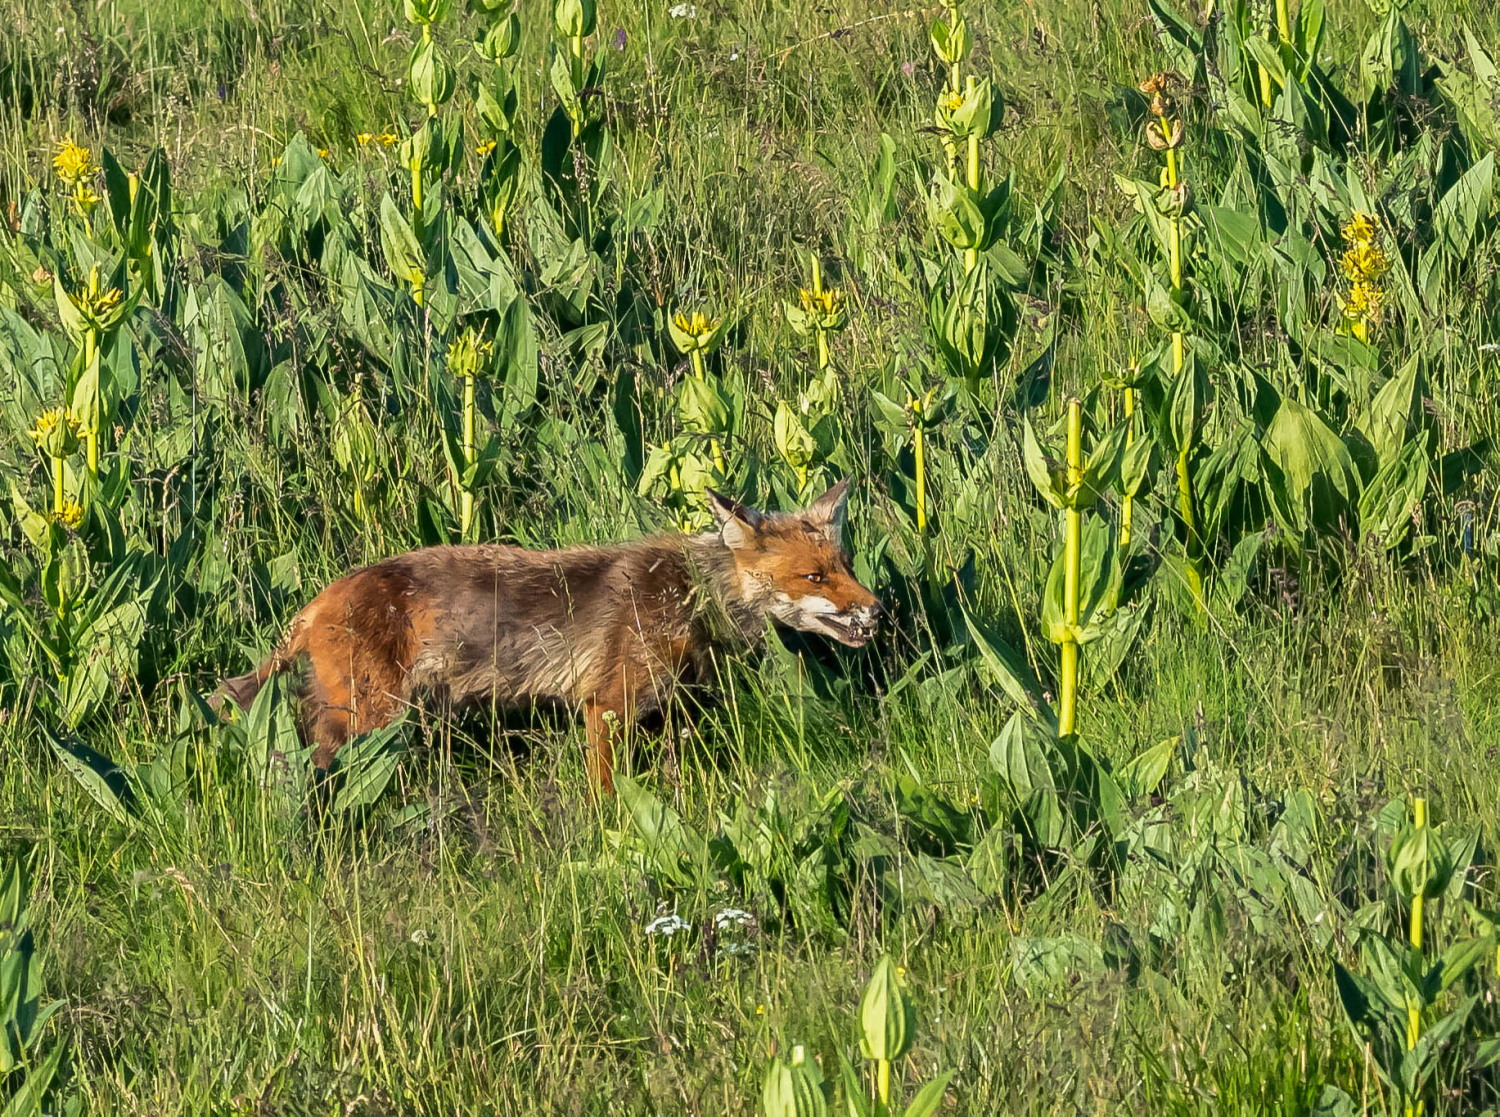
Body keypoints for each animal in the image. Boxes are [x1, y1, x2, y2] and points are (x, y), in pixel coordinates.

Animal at [217, 479, 882, 791]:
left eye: (847, 566)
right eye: (814, 576)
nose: (878, 612)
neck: (691, 596)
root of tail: (319, 599)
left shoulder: (669, 712)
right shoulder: (606, 707)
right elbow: (607, 794)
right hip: (370, 720)